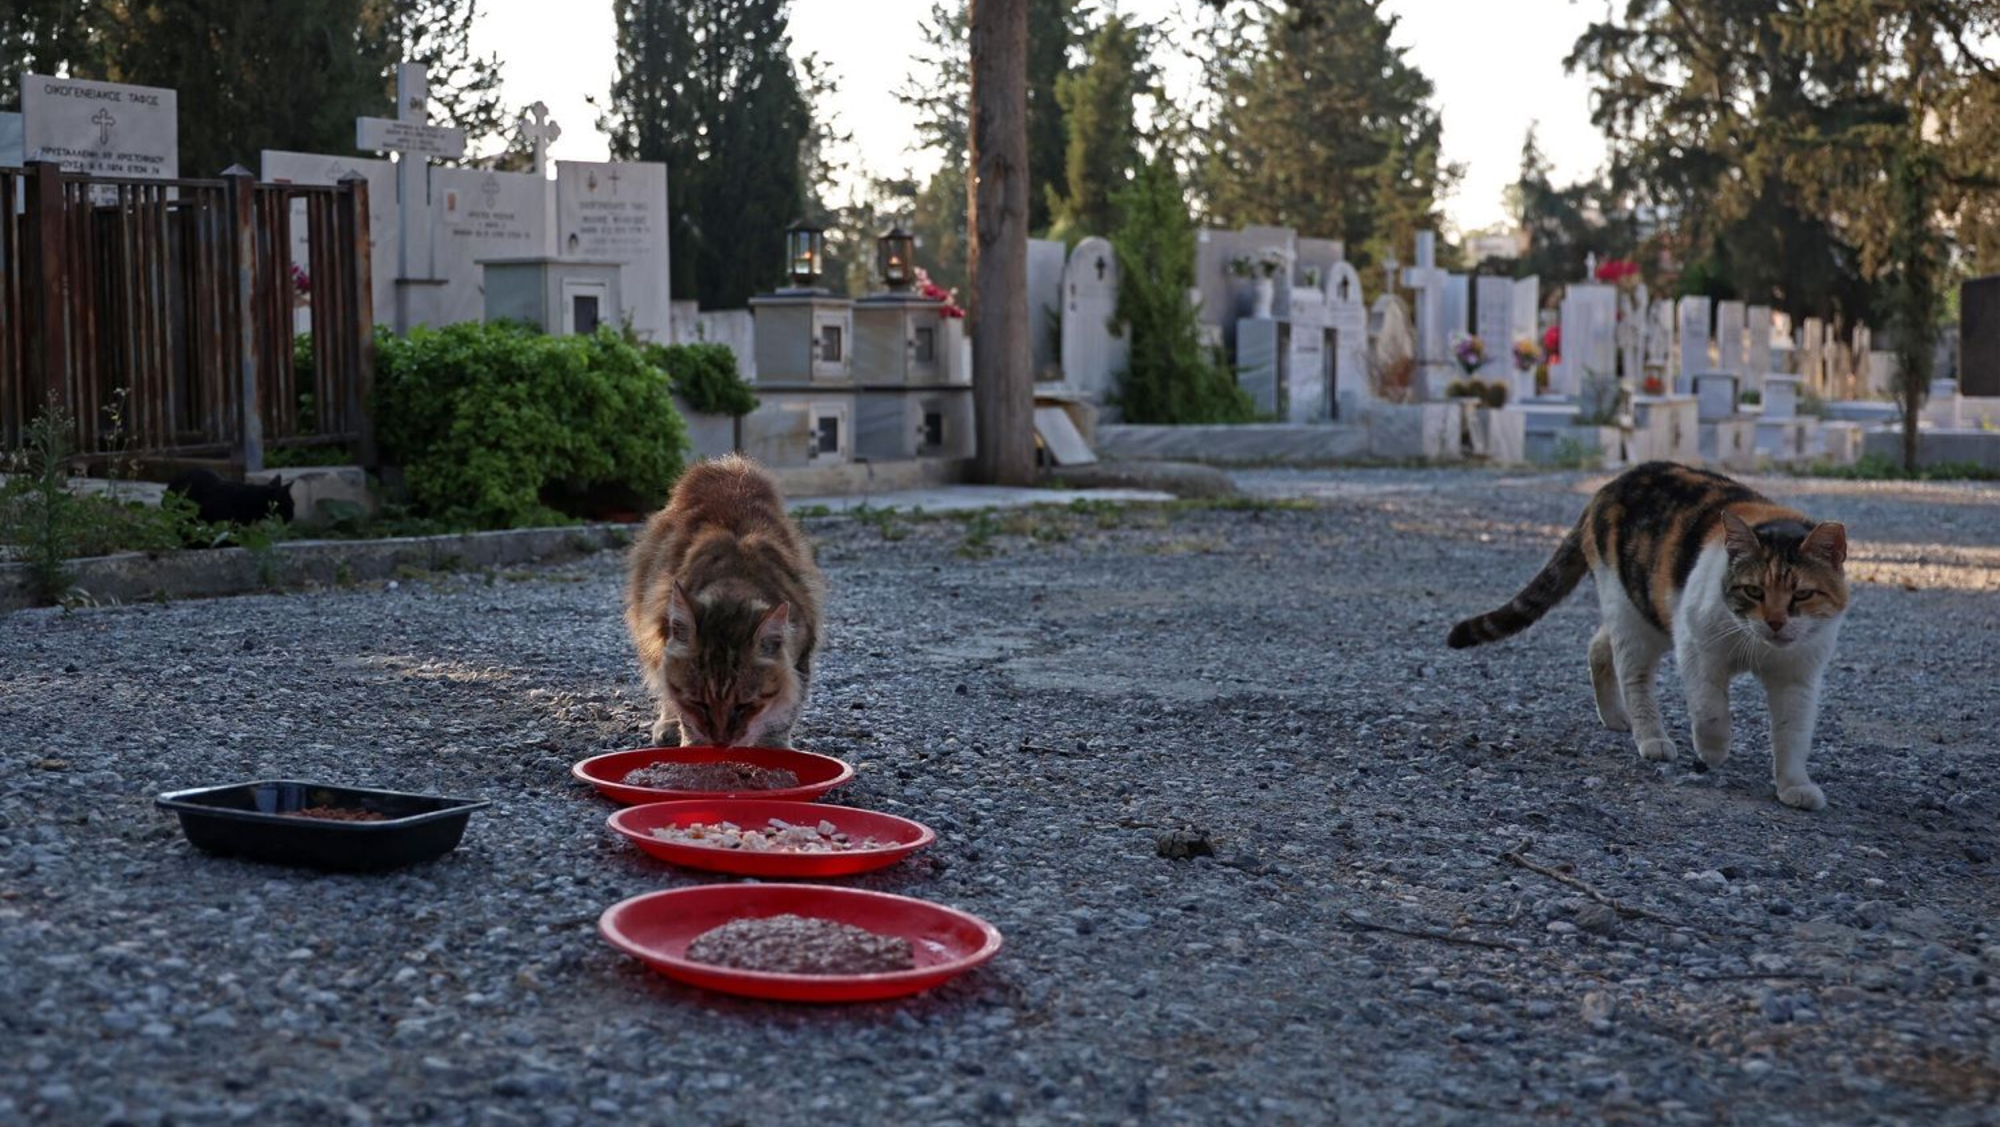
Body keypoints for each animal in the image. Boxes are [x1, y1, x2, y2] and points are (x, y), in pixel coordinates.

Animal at [1448, 459, 1848, 811]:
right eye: (1754, 592)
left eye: (1802, 595)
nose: (1775, 622)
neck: (1758, 645)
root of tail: (1609, 485)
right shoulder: (1696, 648)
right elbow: (1710, 709)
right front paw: (1713, 748)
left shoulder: (1798, 679)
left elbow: (1793, 733)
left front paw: (1794, 786)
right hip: (1634, 614)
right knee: (1633, 675)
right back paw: (1651, 737)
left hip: (1644, 612)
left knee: (1598, 646)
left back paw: (1614, 716)